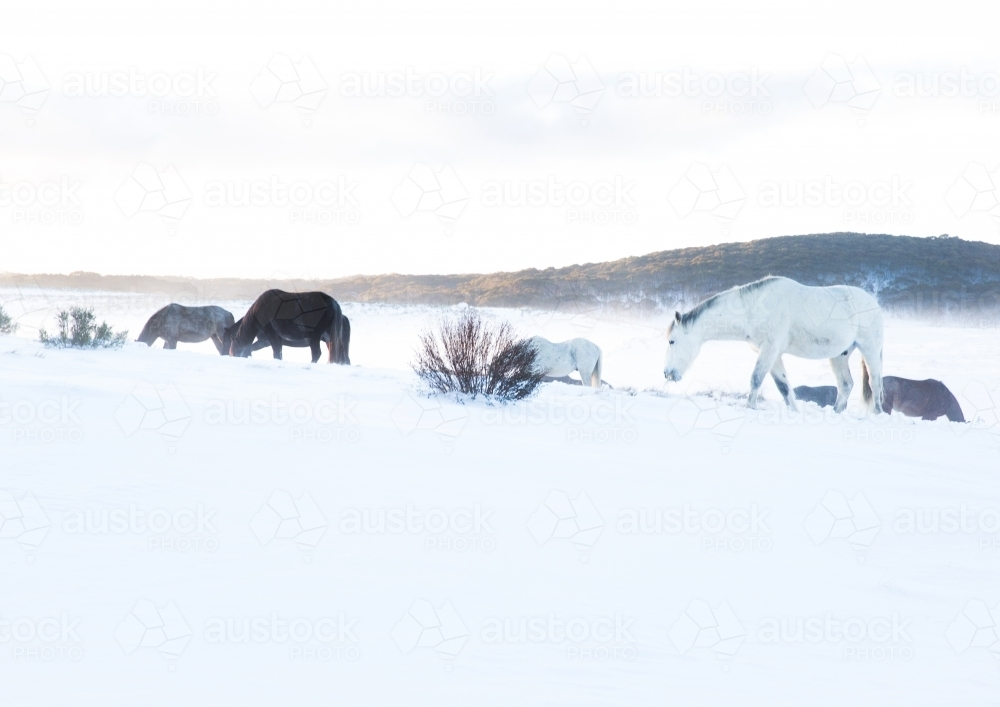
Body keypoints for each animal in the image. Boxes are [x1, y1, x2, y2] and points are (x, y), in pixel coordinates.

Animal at [664, 274, 884, 412]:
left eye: (672, 341)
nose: (668, 373)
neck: (752, 308)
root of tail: (875, 303)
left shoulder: (770, 348)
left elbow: (756, 378)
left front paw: (749, 408)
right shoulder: (774, 354)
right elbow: (784, 386)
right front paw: (794, 412)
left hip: (870, 349)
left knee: (875, 384)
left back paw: (877, 413)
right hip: (840, 355)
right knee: (846, 385)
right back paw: (836, 412)